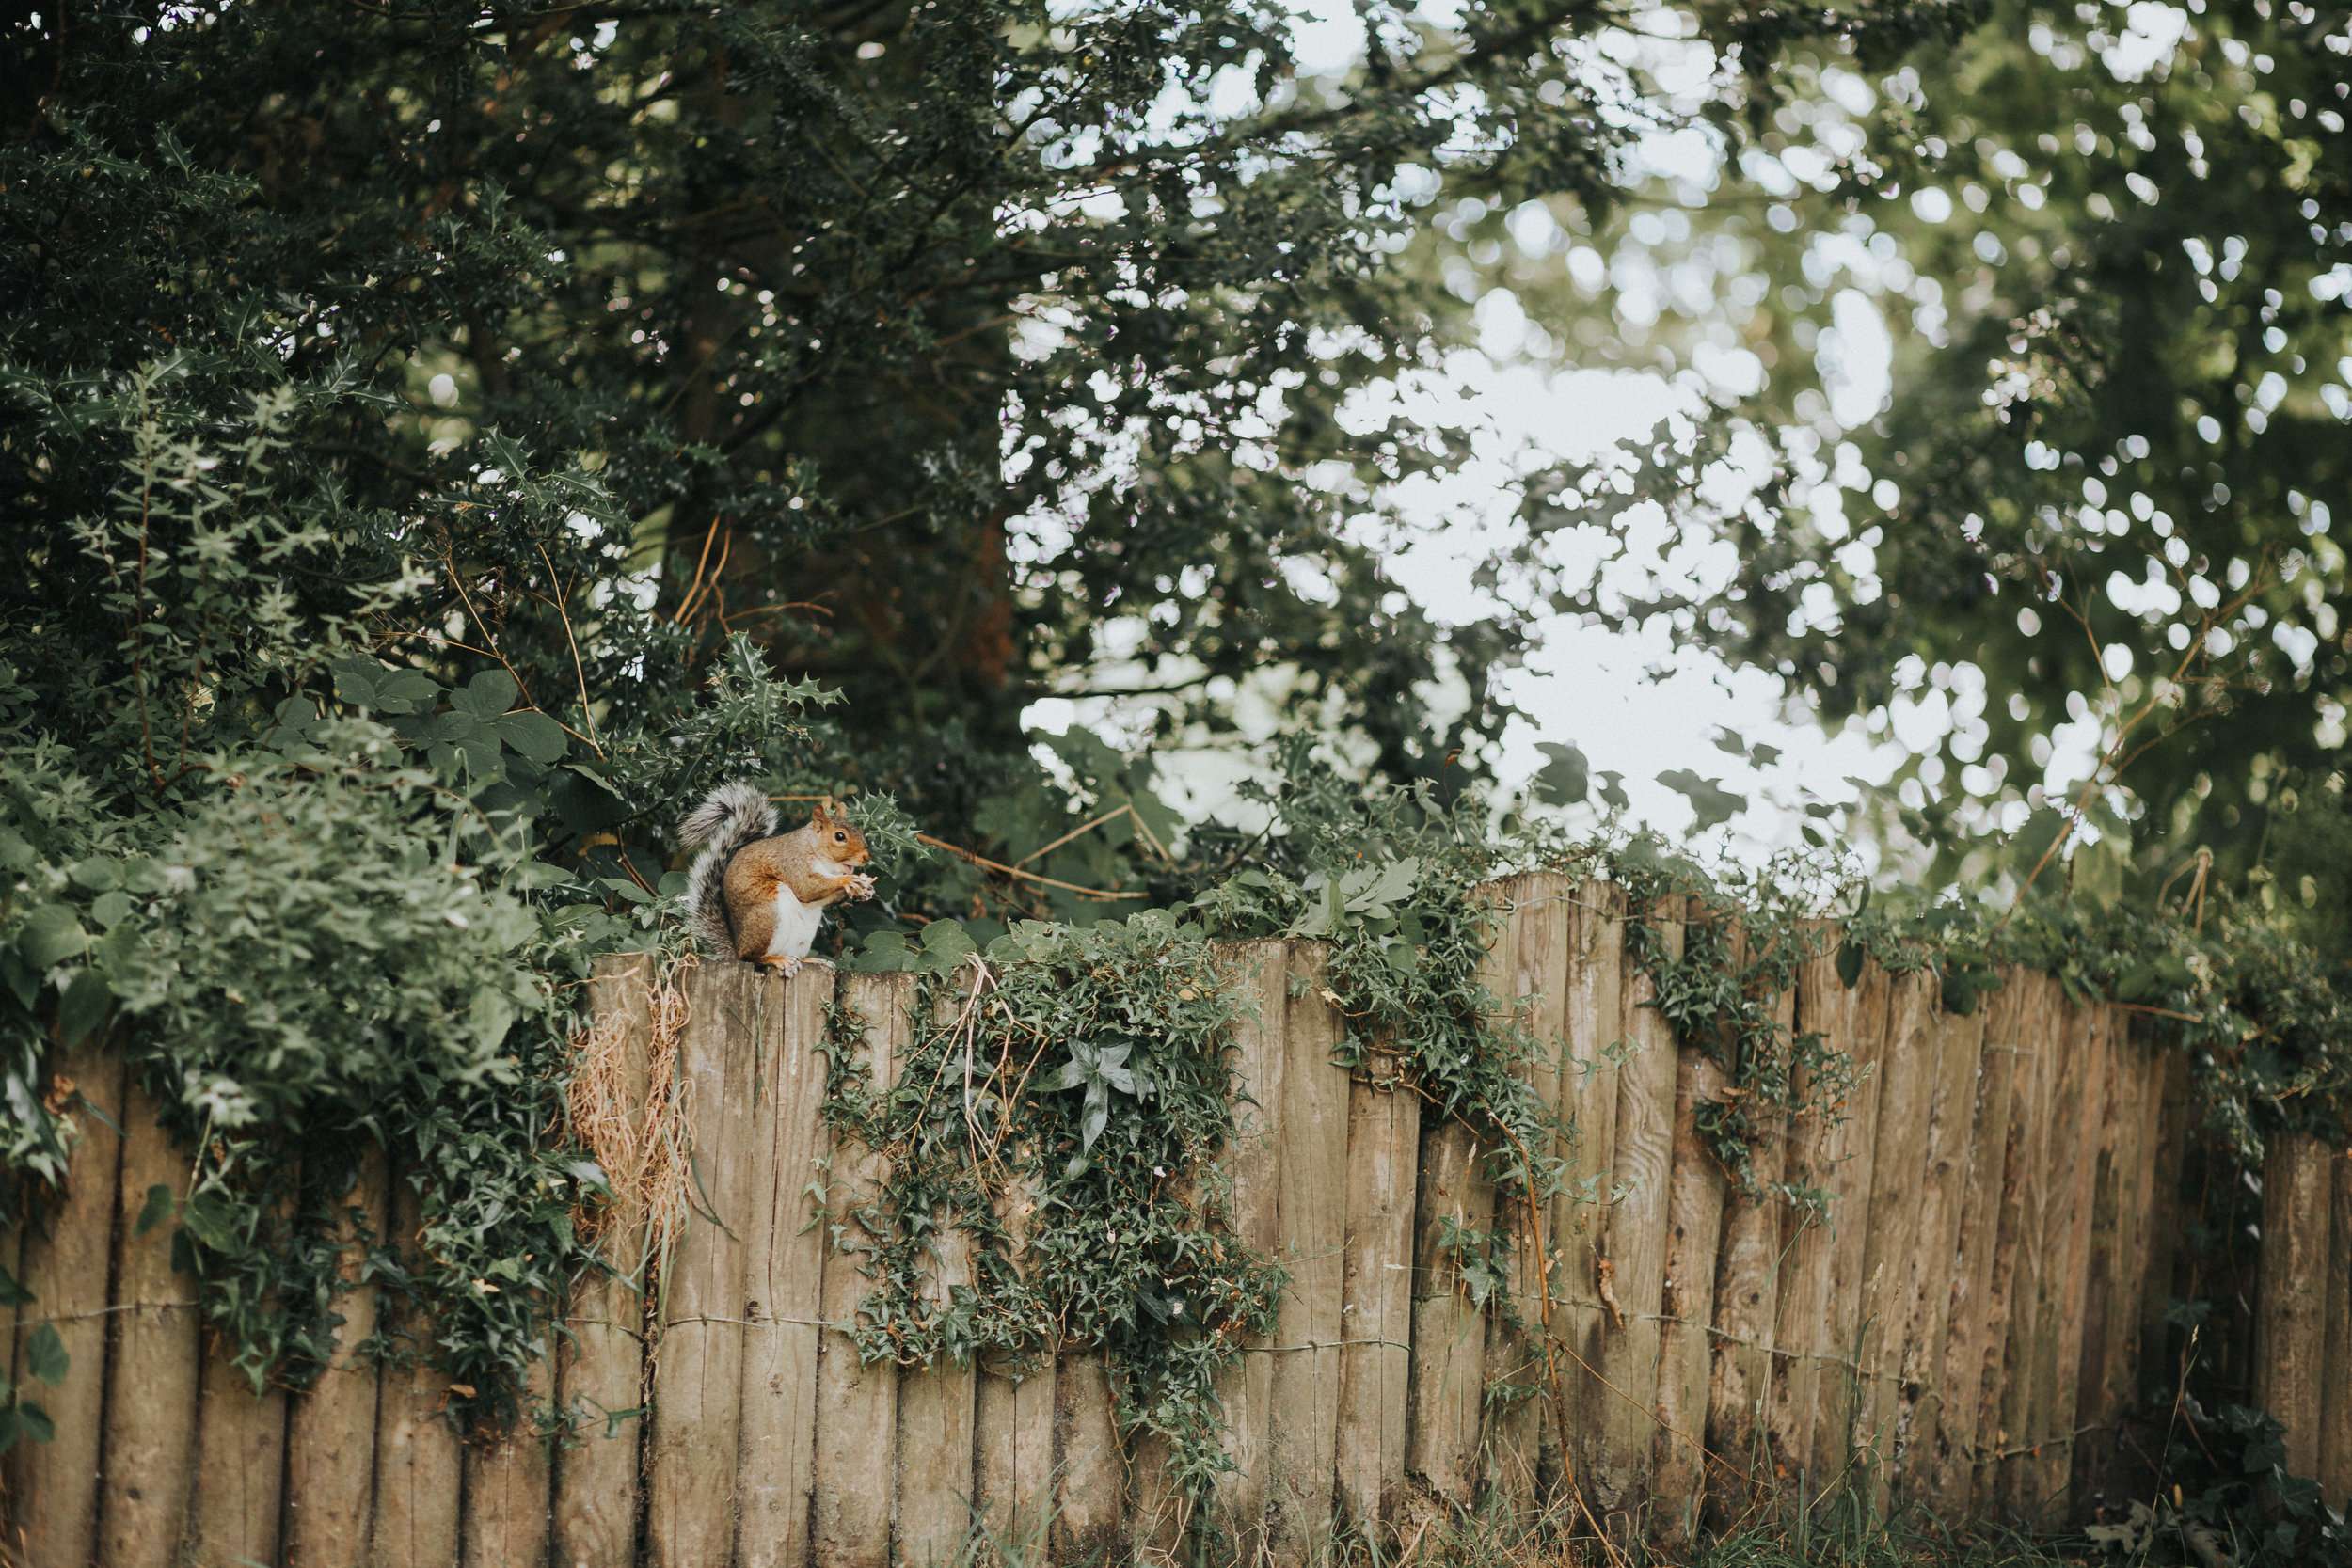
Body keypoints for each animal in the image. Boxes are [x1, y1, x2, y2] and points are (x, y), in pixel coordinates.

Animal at [679, 781, 877, 973]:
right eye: (840, 836)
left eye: (860, 831)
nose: (866, 857)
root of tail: (736, 951)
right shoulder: (792, 863)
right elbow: (807, 887)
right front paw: (849, 880)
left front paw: (866, 890)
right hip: (768, 916)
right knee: (754, 957)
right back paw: (777, 960)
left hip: (801, 938)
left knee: (795, 956)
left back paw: (811, 961)